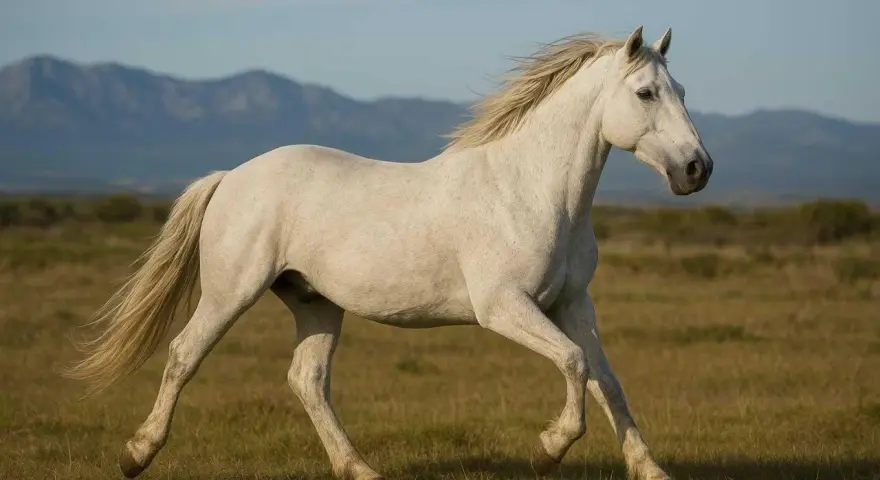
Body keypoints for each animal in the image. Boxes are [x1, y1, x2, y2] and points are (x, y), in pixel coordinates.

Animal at [65, 25, 713, 480]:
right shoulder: (504, 307)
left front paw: (650, 469)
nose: (697, 169)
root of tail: (232, 177)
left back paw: (359, 469)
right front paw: (547, 452)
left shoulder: (572, 303)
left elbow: (607, 380)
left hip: (315, 302)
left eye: (681, 90)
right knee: (184, 355)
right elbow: (576, 365)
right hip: (232, 291)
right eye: (645, 92)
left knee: (307, 381)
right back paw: (135, 455)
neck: (531, 189)